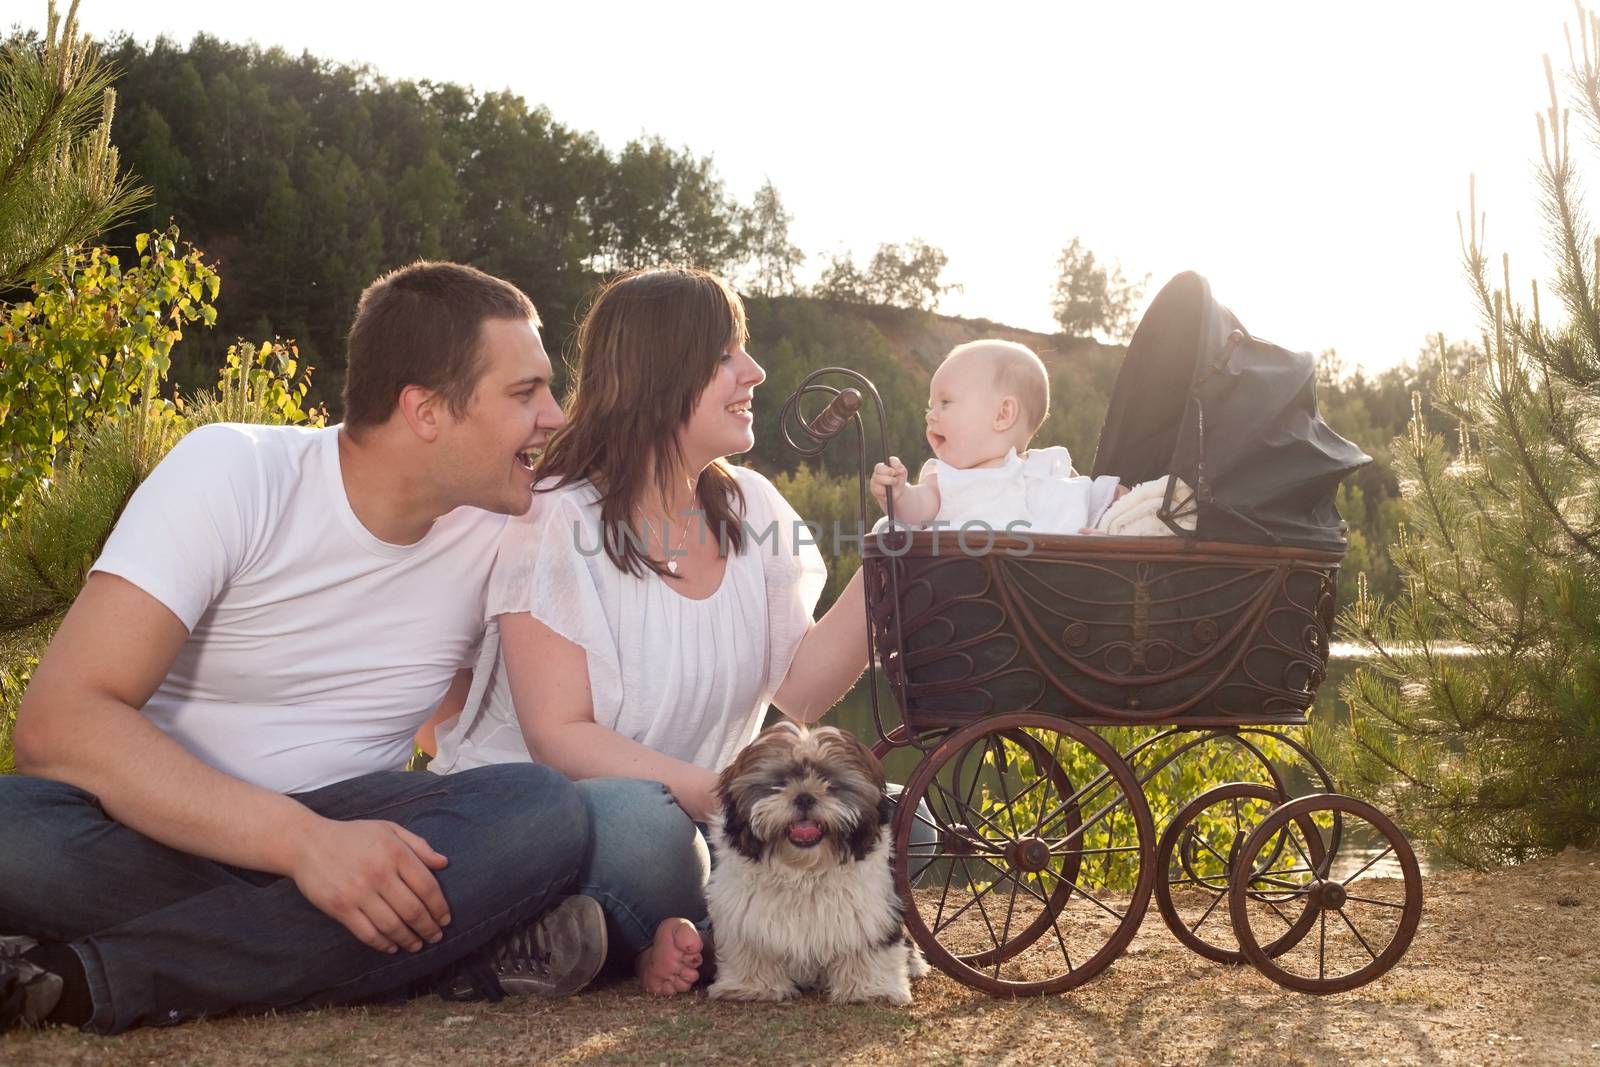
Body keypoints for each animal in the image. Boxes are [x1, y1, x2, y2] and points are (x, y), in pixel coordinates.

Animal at [710, 723, 934, 1004]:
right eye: (779, 782)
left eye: (830, 783)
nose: (805, 797)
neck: (804, 871)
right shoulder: (746, 919)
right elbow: (753, 951)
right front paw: (752, 986)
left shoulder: (867, 915)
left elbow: (864, 947)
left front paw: (870, 988)